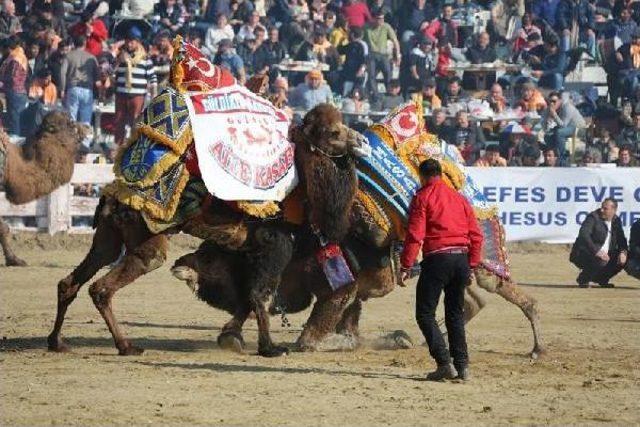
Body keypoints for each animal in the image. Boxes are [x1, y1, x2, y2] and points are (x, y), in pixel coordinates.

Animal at [47, 103, 368, 358]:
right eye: (334, 132)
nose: (362, 140)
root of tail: (112, 194)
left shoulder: (243, 248)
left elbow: (246, 294)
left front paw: (234, 337)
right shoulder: (274, 242)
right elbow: (260, 294)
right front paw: (270, 348)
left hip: (108, 237)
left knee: (71, 281)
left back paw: (57, 342)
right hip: (144, 235)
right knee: (106, 285)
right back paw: (126, 346)